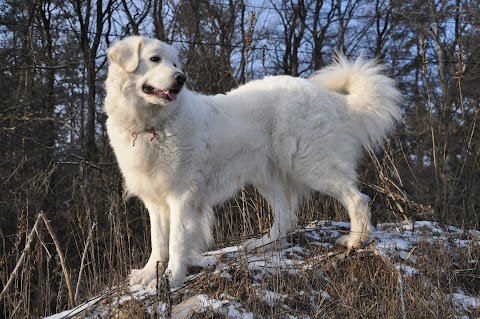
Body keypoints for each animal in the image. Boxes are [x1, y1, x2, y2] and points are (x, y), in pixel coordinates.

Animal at [104, 36, 402, 288]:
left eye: (175, 64)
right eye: (155, 59)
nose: (181, 78)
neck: (152, 125)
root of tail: (323, 94)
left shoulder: (182, 195)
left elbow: (177, 240)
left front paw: (171, 277)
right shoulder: (155, 200)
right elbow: (158, 241)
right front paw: (148, 273)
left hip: (311, 164)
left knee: (357, 199)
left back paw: (356, 240)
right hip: (269, 176)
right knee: (287, 217)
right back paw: (264, 244)